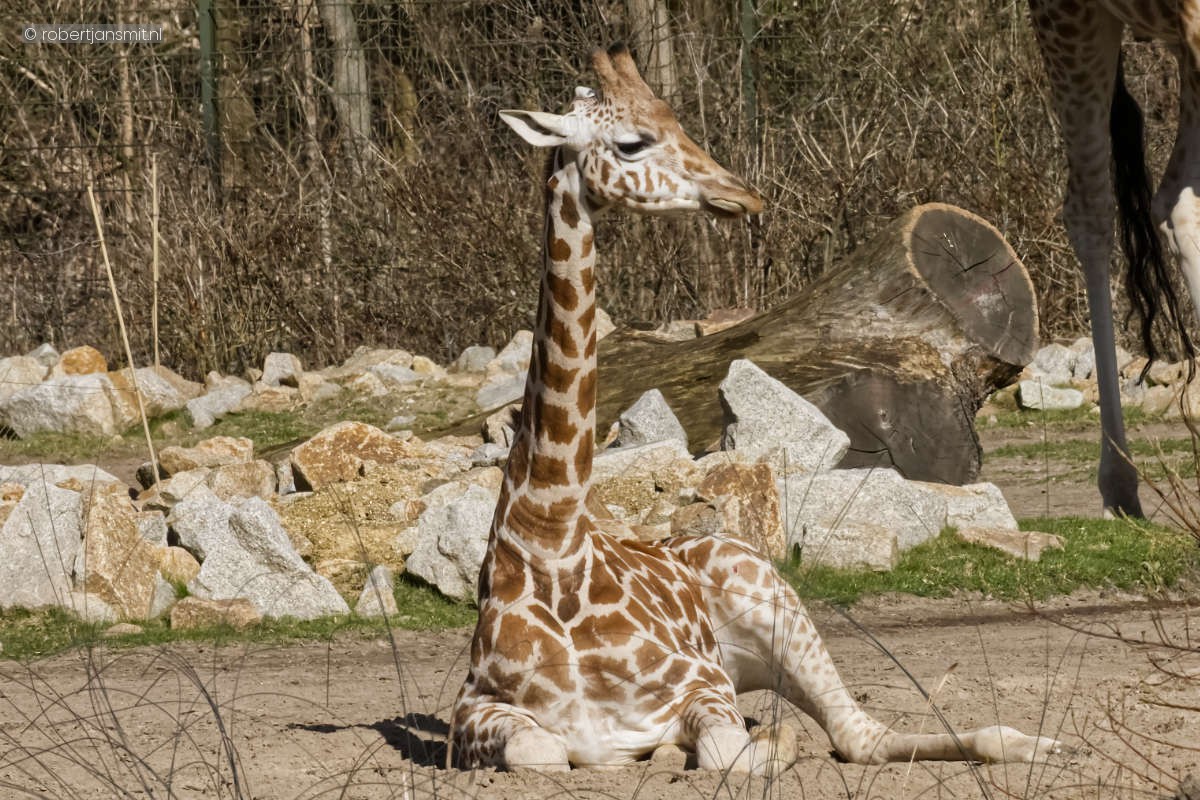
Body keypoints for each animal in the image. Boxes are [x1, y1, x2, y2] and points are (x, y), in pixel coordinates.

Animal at [446, 43, 1062, 775]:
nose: (744, 194)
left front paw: (763, 743)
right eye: (632, 142)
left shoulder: (700, 682)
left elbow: (726, 753)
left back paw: (1031, 740)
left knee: (859, 735)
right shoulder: (473, 708)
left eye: (676, 121)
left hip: (770, 596)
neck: (549, 544)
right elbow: (538, 748)